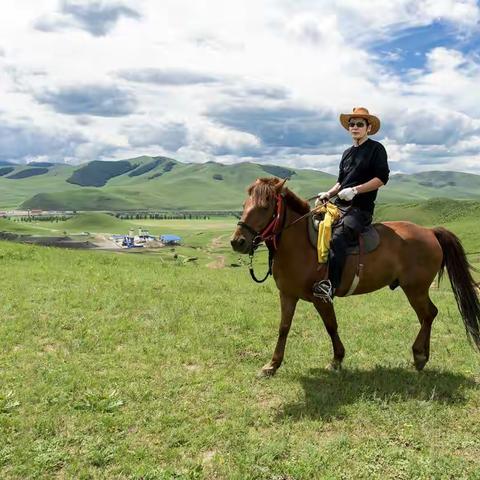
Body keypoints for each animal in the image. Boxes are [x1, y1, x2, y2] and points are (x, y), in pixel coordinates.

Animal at [231, 176, 478, 376]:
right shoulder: (288, 294)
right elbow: (284, 327)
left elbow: (331, 326)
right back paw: (422, 356)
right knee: (427, 315)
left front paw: (337, 359)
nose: (237, 242)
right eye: (244, 206)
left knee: (428, 314)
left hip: (415, 289)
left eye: (264, 207)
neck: (299, 245)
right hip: (416, 290)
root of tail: (430, 232)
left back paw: (419, 355)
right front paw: (272, 365)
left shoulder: (321, 297)